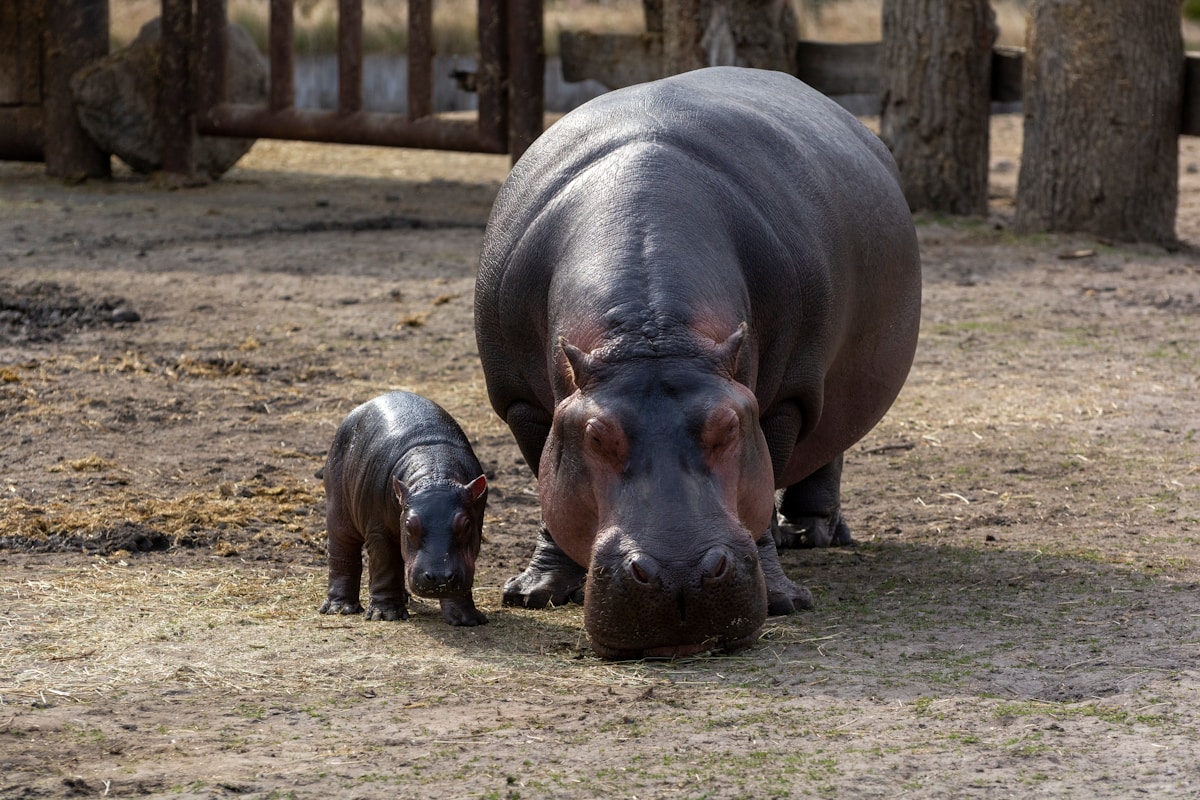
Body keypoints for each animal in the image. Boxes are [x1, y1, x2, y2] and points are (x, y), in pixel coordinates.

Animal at [319, 391, 489, 626]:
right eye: (409, 525)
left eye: (466, 525)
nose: (438, 577)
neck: (435, 473)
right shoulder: (379, 531)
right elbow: (385, 568)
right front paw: (386, 615)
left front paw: (466, 619)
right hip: (338, 510)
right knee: (343, 553)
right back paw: (340, 608)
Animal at [474, 66, 921, 659]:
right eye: (595, 435)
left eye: (729, 426)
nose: (678, 576)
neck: (653, 335)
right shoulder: (521, 401)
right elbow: (548, 487)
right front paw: (534, 593)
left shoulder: (785, 399)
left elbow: (766, 483)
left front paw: (784, 599)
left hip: (830, 382)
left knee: (829, 446)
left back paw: (809, 536)